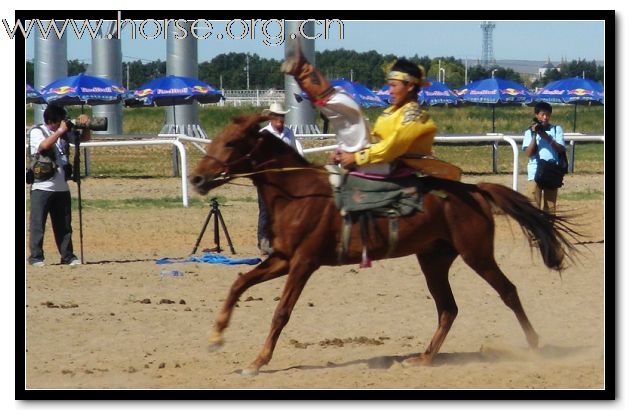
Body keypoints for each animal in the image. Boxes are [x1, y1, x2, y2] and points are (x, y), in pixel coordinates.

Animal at [190, 113, 580, 376]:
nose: (196, 178)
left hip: (477, 254)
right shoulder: (283, 259)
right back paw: (424, 358)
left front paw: (257, 362)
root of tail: (473, 190)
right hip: (433, 259)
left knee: (508, 291)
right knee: (448, 308)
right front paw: (215, 336)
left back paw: (534, 346)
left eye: (230, 143)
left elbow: (281, 313)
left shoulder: (303, 262)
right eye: (214, 140)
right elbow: (239, 283)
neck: (298, 193)